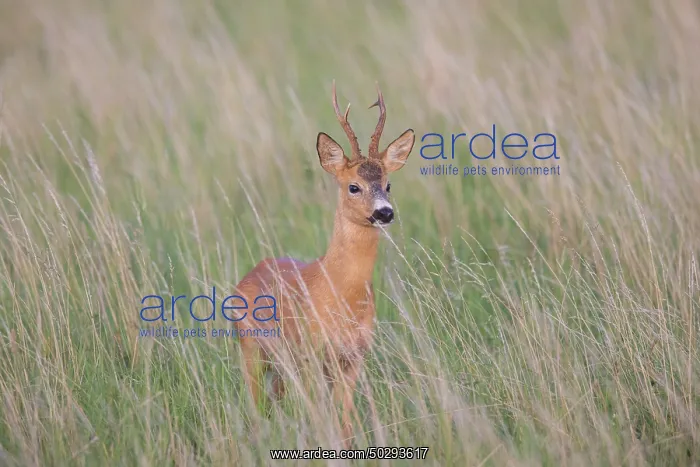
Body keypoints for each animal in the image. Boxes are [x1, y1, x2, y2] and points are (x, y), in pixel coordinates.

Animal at [232, 81, 415, 446]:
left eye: (388, 184)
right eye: (353, 186)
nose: (384, 212)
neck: (342, 295)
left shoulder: (354, 357)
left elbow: (343, 423)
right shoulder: (311, 354)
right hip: (252, 349)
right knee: (257, 407)